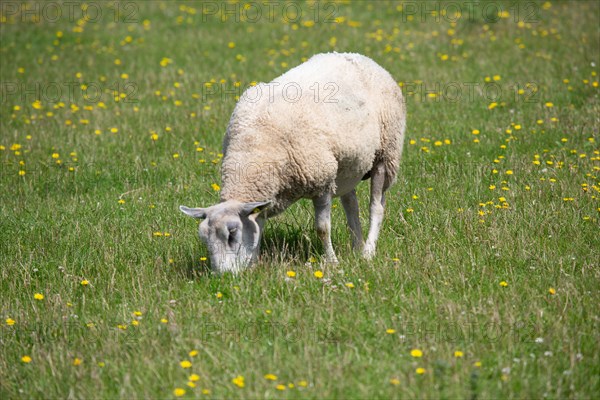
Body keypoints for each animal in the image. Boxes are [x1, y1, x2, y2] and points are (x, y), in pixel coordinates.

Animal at [182, 51, 408, 274]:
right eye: (204, 240)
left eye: (232, 233)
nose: (221, 276)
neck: (254, 148)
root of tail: (360, 57)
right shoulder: (266, 195)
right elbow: (257, 228)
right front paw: (253, 265)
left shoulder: (321, 181)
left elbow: (322, 229)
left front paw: (332, 263)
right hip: (348, 167)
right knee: (352, 206)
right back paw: (356, 247)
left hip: (386, 154)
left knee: (376, 208)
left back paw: (367, 252)